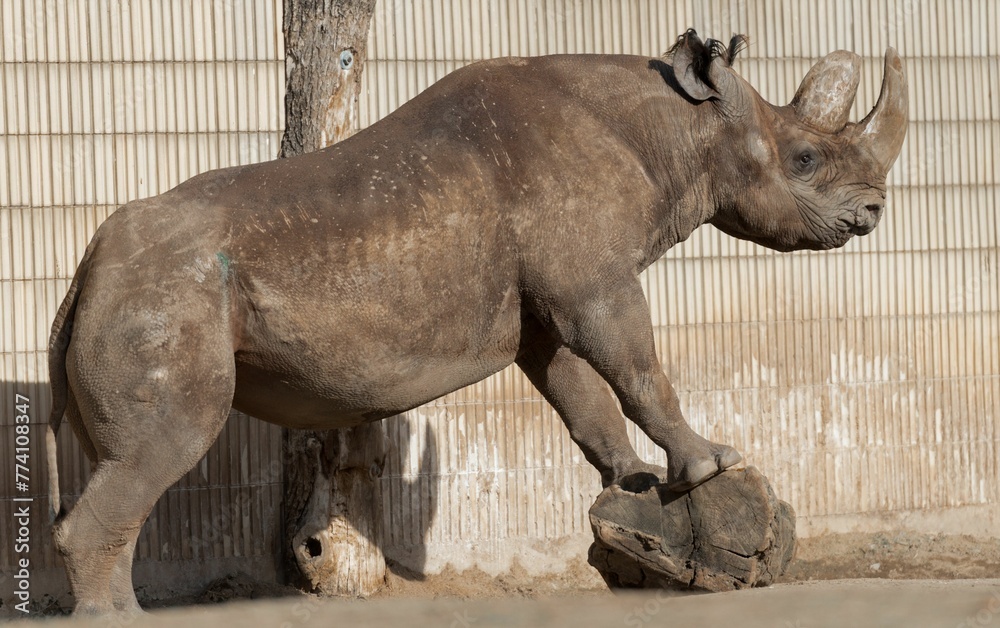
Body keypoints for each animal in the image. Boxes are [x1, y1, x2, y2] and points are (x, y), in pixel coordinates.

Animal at [46, 29, 907, 613]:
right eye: (803, 160)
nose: (871, 214)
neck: (678, 128)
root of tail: (85, 266)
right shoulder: (594, 283)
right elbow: (639, 369)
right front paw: (711, 465)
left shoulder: (548, 308)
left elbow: (583, 398)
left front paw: (635, 489)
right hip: (164, 291)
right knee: (165, 445)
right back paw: (124, 620)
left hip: (136, 292)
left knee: (121, 460)